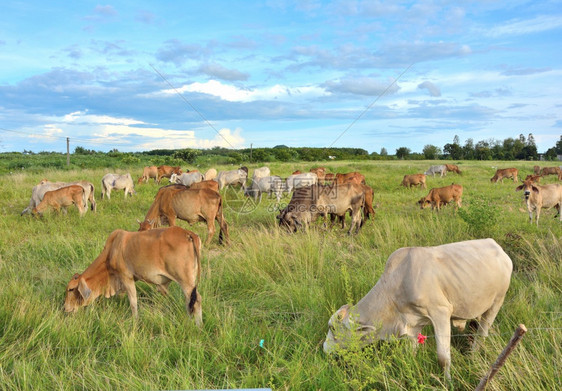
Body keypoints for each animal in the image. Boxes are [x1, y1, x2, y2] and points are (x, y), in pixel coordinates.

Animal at [63, 227, 201, 324]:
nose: (65, 308)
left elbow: (133, 302)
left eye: (71, 289)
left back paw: (198, 326)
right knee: (190, 301)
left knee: (196, 300)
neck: (111, 252)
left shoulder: (126, 277)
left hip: (185, 280)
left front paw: (135, 321)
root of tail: (188, 233)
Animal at [324, 237, 512, 382]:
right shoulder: (413, 324)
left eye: (332, 328)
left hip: (497, 301)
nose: (324, 349)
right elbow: (410, 352)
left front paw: (448, 381)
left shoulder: (440, 313)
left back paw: (473, 356)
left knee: (482, 333)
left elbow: (443, 358)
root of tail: (497, 246)